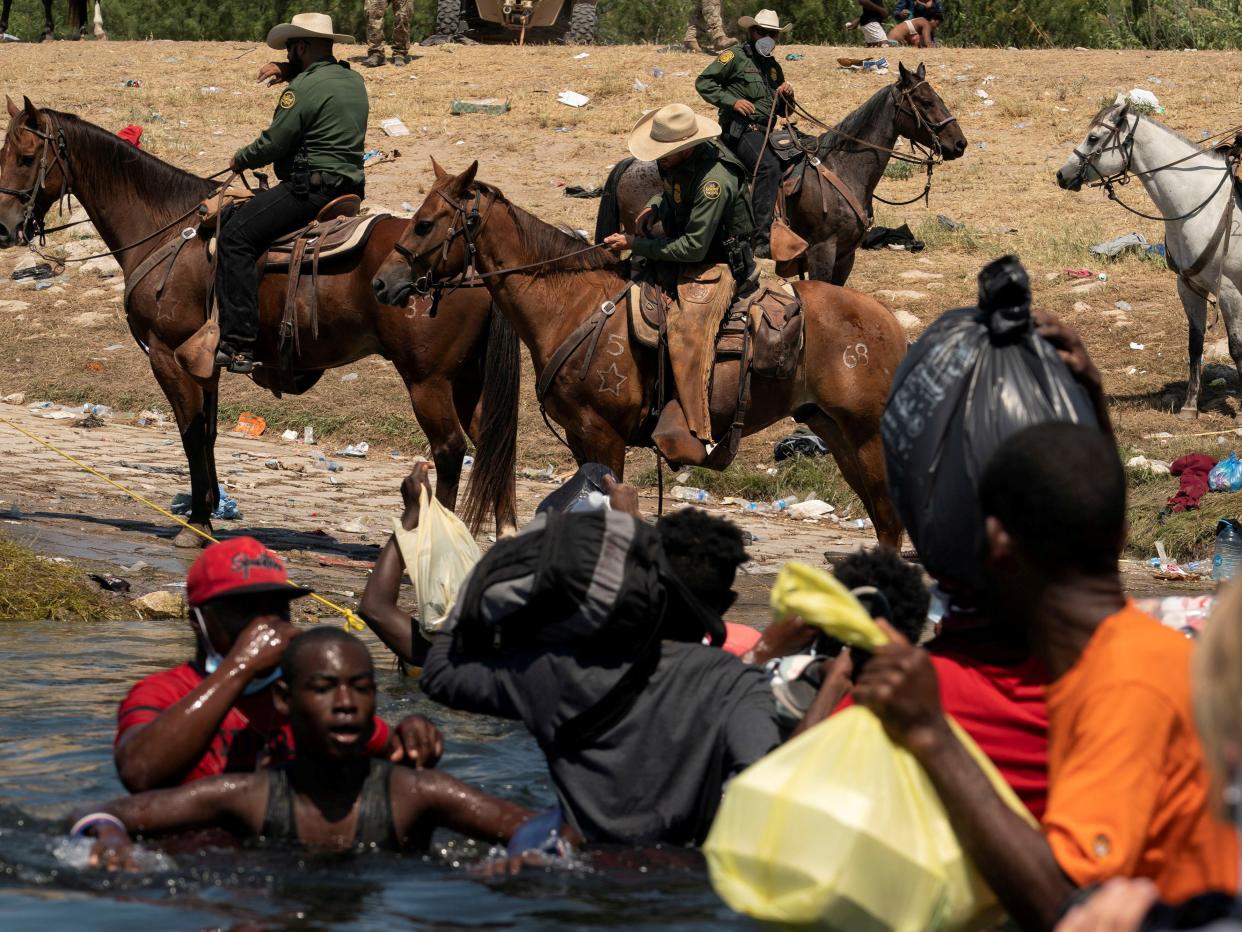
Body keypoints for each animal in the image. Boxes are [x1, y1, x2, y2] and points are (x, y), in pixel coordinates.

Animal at [0, 97, 519, 544]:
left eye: (25, 157)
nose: (5, 228)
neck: (169, 228)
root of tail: (471, 260)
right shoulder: (203, 362)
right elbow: (207, 433)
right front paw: (207, 509)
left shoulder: (167, 355)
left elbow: (190, 434)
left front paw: (196, 523)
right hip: (467, 381)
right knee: (494, 446)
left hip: (428, 380)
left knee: (450, 450)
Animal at [372, 160, 909, 546]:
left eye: (424, 224)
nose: (381, 282)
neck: (571, 306)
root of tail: (890, 324)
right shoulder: (580, 437)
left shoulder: (604, 436)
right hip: (834, 431)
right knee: (883, 519)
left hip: (866, 436)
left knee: (888, 520)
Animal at [596, 61, 963, 284]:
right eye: (926, 102)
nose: (959, 143)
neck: (842, 169)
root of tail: (631, 163)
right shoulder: (822, 251)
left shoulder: (846, 255)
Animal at [1058, 95, 1242, 420]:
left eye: (1093, 137)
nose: (1061, 175)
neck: (1200, 204)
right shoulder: (1189, 286)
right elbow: (1195, 345)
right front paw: (1189, 406)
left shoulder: (1230, 290)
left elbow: (1236, 348)